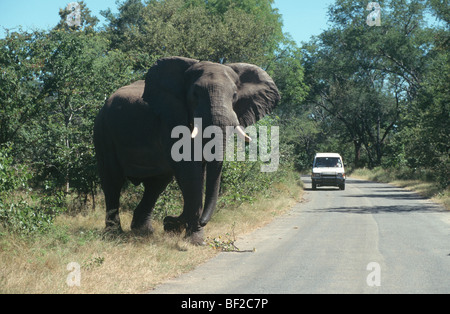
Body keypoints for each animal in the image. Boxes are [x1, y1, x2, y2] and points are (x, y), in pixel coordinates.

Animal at [93, 56, 280, 244]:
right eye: (195, 94)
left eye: (234, 95)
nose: (168, 221)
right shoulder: (171, 119)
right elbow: (189, 172)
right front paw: (195, 239)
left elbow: (197, 173)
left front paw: (176, 226)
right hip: (103, 131)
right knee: (112, 180)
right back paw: (114, 234)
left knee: (157, 184)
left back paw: (144, 231)